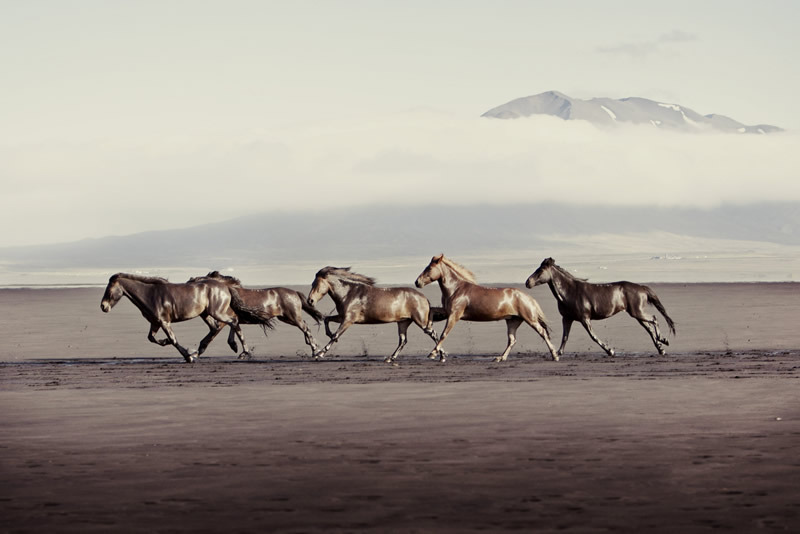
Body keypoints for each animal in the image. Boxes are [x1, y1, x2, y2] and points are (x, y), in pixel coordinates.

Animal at [98, 272, 258, 364]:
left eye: (110, 289)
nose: (103, 306)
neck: (150, 294)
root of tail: (225, 286)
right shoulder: (155, 323)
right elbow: (152, 338)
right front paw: (167, 342)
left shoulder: (164, 322)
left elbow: (174, 340)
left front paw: (188, 356)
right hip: (206, 314)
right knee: (218, 326)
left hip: (216, 312)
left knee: (233, 321)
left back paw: (242, 351)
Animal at [188, 274, 324, 358]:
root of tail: (294, 292)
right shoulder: (232, 319)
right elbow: (234, 330)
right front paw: (236, 347)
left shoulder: (222, 320)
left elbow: (211, 336)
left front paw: (196, 353)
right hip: (286, 318)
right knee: (305, 326)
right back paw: (313, 346)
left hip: (293, 317)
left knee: (305, 328)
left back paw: (315, 350)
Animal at [308, 268, 444, 364]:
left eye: (316, 284)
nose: (310, 301)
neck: (349, 293)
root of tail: (424, 297)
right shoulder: (342, 317)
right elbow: (327, 320)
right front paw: (329, 336)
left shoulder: (348, 320)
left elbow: (336, 334)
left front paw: (319, 353)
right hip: (403, 322)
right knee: (403, 340)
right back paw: (390, 358)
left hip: (421, 321)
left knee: (433, 333)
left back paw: (440, 356)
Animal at [412, 255, 556, 364]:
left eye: (429, 268)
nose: (417, 282)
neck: (456, 289)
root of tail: (528, 297)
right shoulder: (447, 312)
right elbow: (432, 312)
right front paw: (428, 329)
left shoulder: (454, 315)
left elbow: (444, 334)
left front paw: (432, 353)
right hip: (513, 321)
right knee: (512, 340)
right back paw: (500, 358)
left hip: (529, 319)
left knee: (542, 332)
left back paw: (555, 355)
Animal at [524, 258, 676, 358]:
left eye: (541, 270)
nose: (527, 282)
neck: (570, 292)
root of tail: (642, 288)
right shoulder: (567, 318)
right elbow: (565, 337)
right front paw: (558, 353)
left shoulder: (585, 318)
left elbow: (593, 336)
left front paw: (610, 351)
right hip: (637, 314)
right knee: (649, 328)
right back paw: (661, 348)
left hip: (637, 312)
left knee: (654, 319)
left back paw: (663, 340)